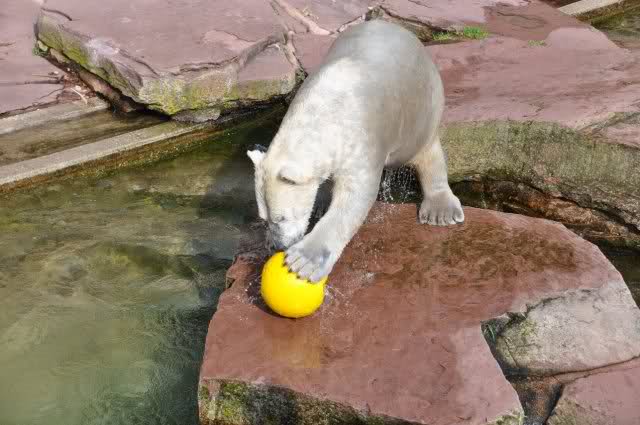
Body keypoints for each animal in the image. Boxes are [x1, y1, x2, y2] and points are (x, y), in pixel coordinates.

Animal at [247, 19, 464, 282]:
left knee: (426, 151)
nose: (277, 246)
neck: (324, 109)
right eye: (264, 217)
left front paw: (303, 261)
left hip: (423, 106)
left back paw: (440, 211)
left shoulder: (362, 134)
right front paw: (319, 204)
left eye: (282, 217)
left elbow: (355, 196)